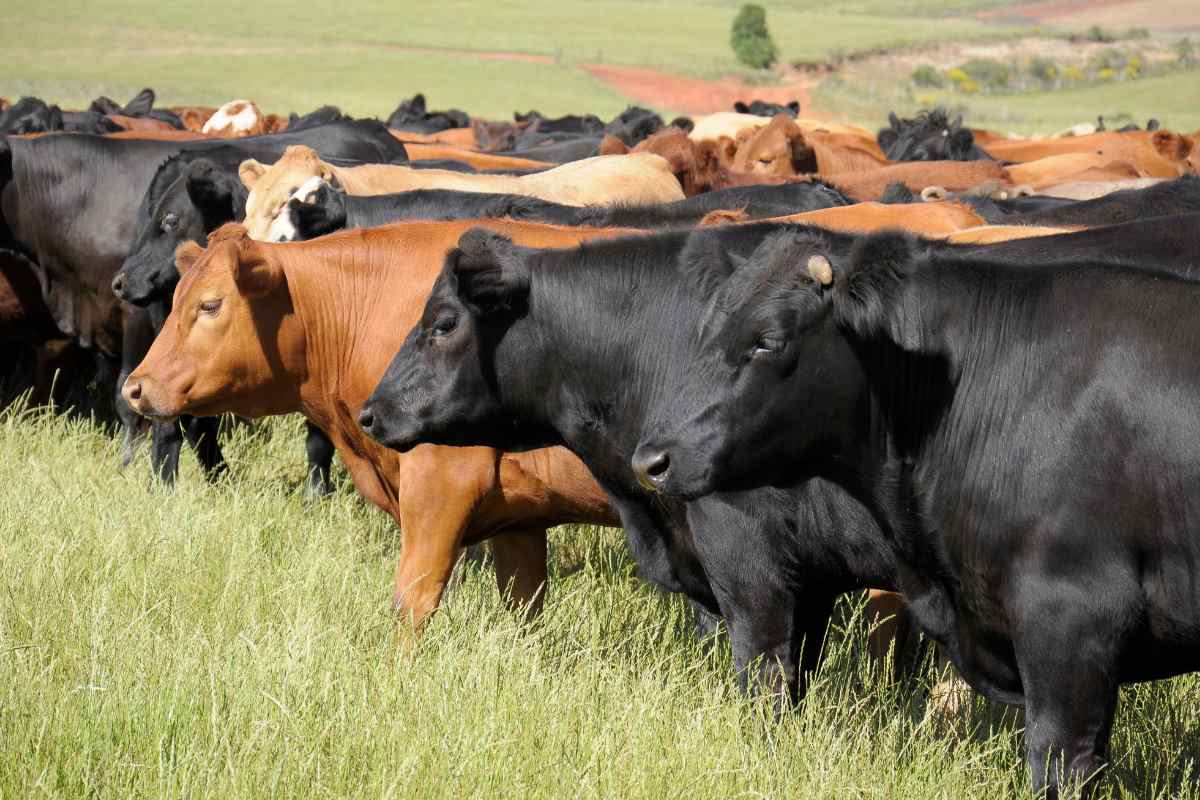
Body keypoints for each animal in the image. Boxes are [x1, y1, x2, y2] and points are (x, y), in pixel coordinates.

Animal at [123, 219, 633, 633]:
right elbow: (523, 603)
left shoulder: (441, 483)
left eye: (210, 305)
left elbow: (414, 602)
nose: (135, 387)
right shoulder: (520, 513)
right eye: (175, 301)